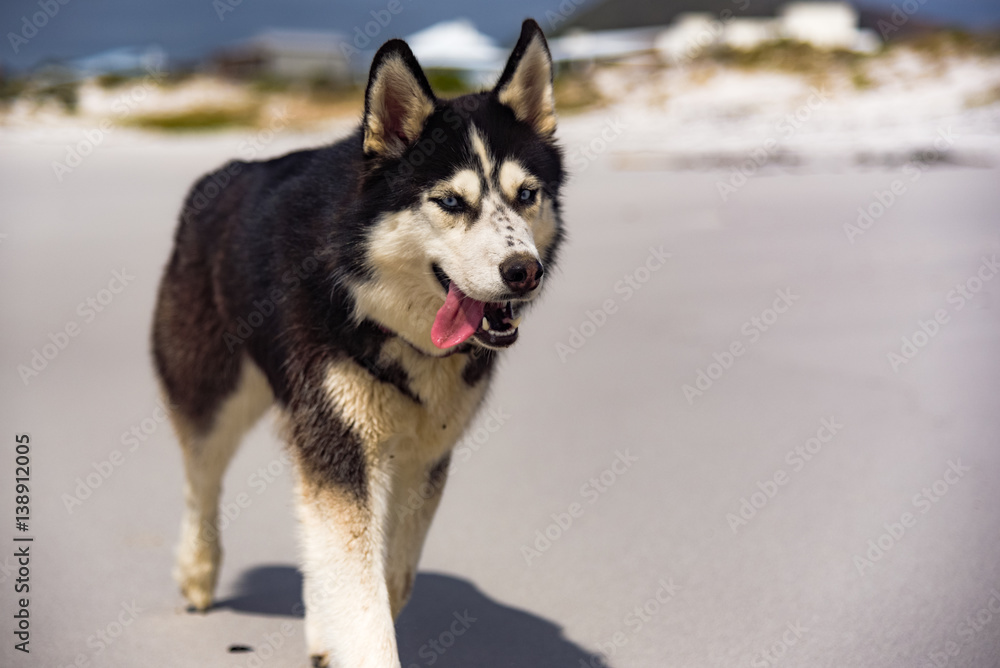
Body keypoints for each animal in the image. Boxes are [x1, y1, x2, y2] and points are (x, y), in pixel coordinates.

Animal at [153, 18, 568, 664]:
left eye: (526, 194)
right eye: (451, 201)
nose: (524, 271)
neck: (376, 309)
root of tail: (217, 178)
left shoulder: (425, 455)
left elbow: (389, 575)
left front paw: (336, 629)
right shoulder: (338, 445)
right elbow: (361, 594)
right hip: (212, 393)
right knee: (202, 478)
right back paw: (197, 571)